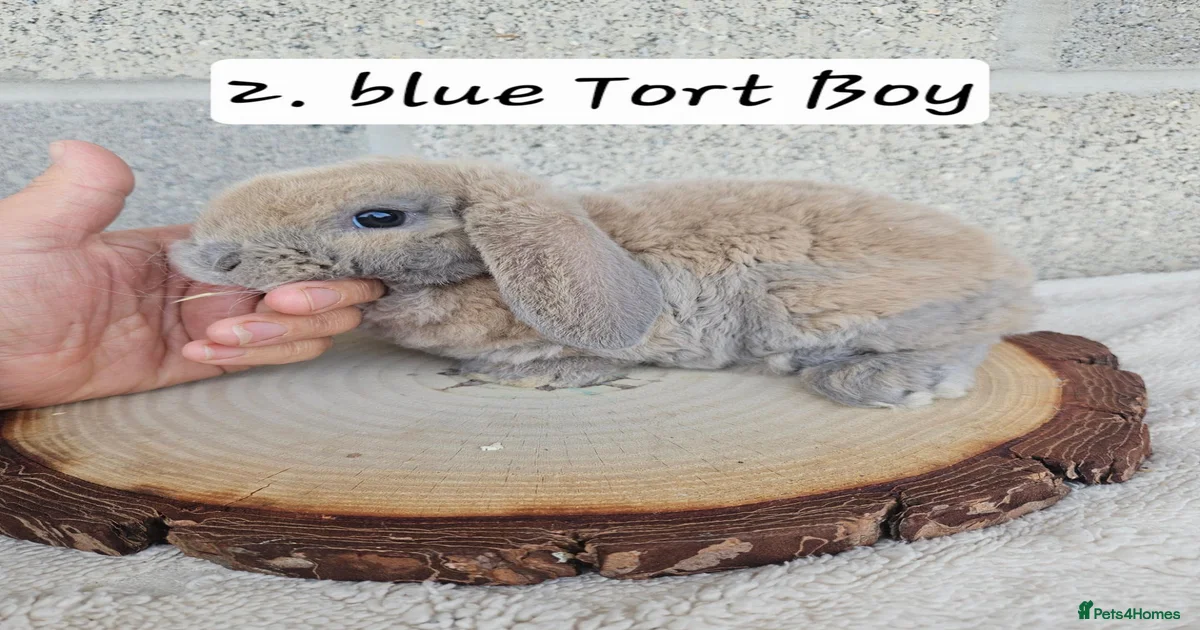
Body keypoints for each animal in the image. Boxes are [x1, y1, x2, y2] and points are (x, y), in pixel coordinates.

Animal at [169, 156, 1036, 408]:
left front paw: (511, 375)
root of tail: (1008, 271)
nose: (206, 256)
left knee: (963, 342)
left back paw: (881, 382)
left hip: (830, 306)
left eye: (378, 217)